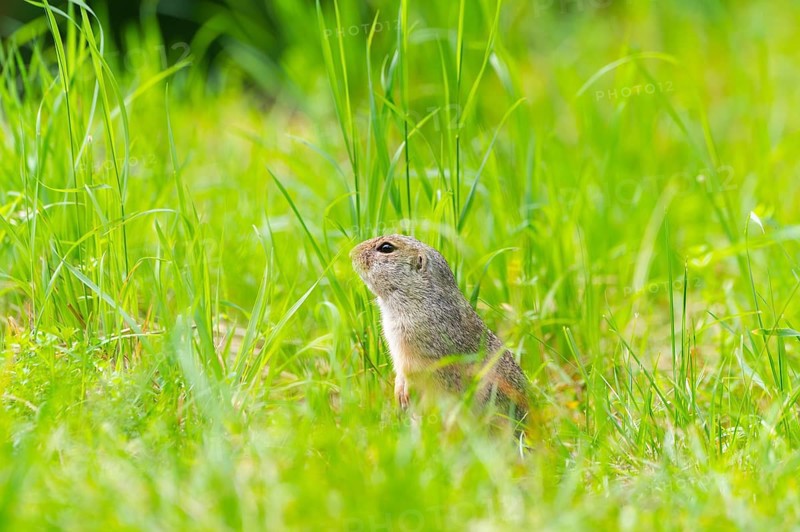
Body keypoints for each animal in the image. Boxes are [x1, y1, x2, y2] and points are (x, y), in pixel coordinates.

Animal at [351, 234, 531, 430]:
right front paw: (398, 392)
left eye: (386, 248)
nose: (352, 253)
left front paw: (404, 394)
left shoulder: (417, 344)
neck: (418, 296)